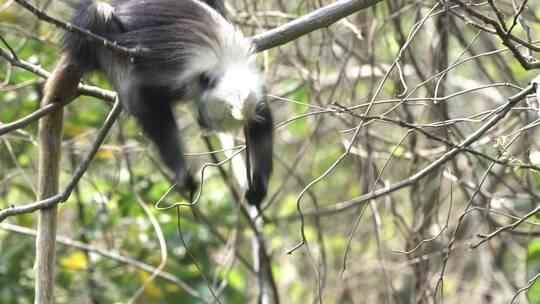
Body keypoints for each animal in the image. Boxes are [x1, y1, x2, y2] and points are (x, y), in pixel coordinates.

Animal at [58, 0, 274, 208]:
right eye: (203, 116)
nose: (201, 122)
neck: (224, 64)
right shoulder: (173, 71)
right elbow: (143, 99)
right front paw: (183, 174)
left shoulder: (256, 89)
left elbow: (263, 122)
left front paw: (259, 187)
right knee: (98, 13)